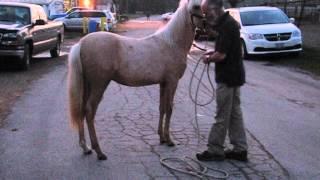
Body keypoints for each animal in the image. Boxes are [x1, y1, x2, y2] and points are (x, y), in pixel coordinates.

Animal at [67, 0, 204, 160]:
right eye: (196, 6)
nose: (206, 24)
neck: (171, 43)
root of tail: (81, 43)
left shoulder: (163, 83)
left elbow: (162, 108)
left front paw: (162, 138)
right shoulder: (172, 82)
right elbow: (169, 109)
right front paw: (170, 140)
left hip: (87, 85)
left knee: (81, 109)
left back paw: (85, 147)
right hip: (99, 85)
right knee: (89, 111)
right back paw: (99, 152)